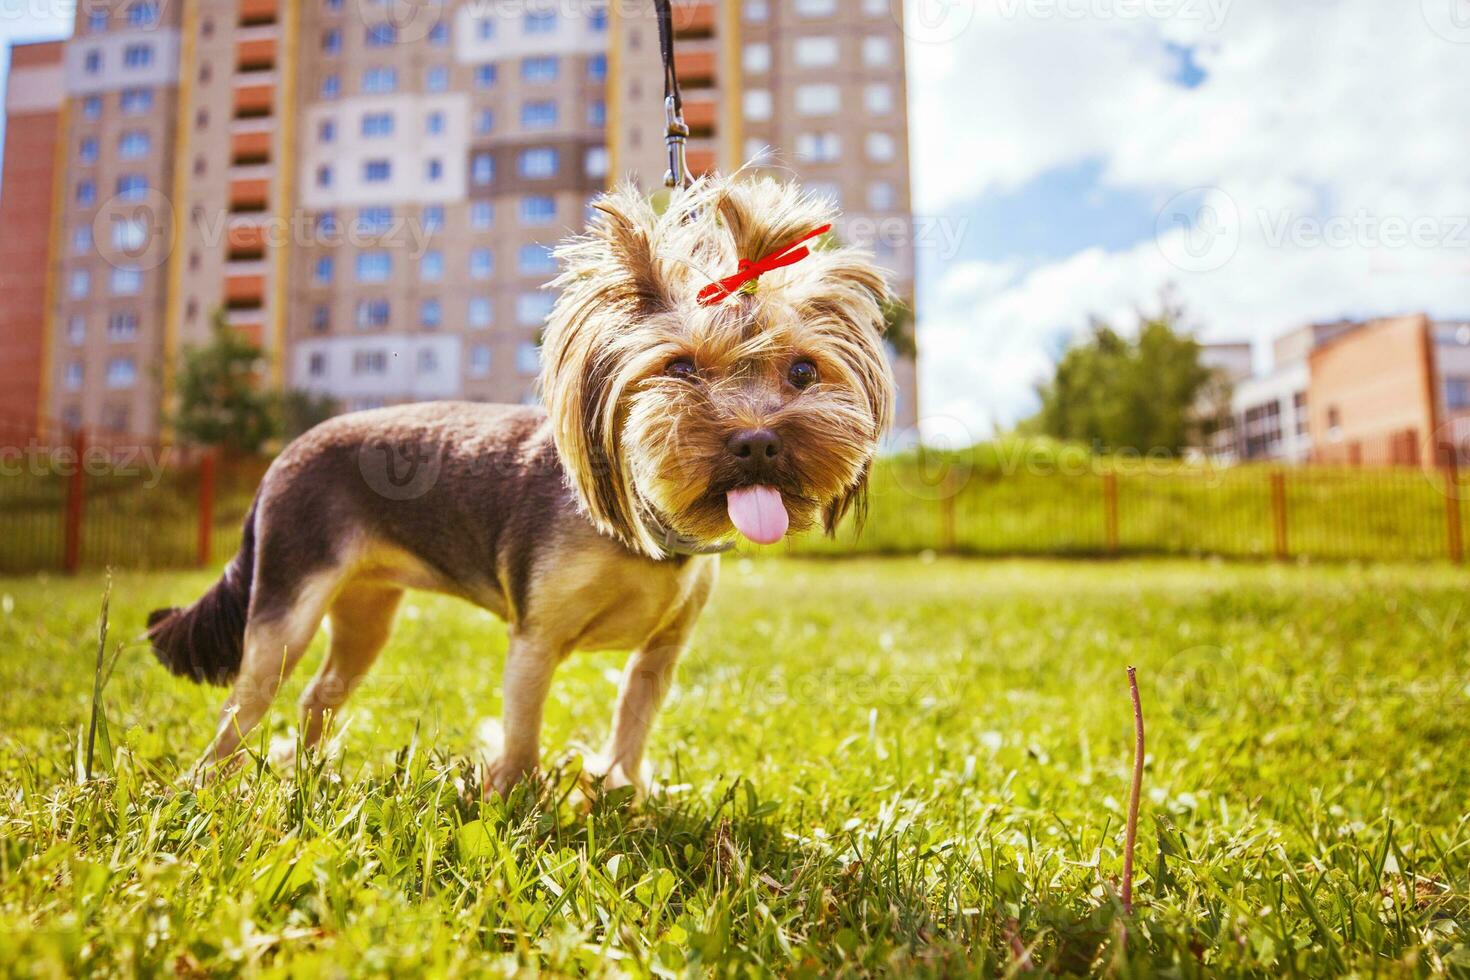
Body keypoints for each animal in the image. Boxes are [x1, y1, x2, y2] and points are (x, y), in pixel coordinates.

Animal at [155, 172, 899, 793]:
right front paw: (512, 802)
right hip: (289, 596)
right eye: (681, 368)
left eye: (802, 372)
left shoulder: (659, 654)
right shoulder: (535, 636)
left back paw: (311, 774)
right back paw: (204, 788)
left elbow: (633, 725)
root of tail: (280, 458)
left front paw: (624, 794)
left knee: (321, 692)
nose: (757, 440)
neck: (646, 529)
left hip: (368, 608)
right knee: (245, 700)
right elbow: (521, 730)